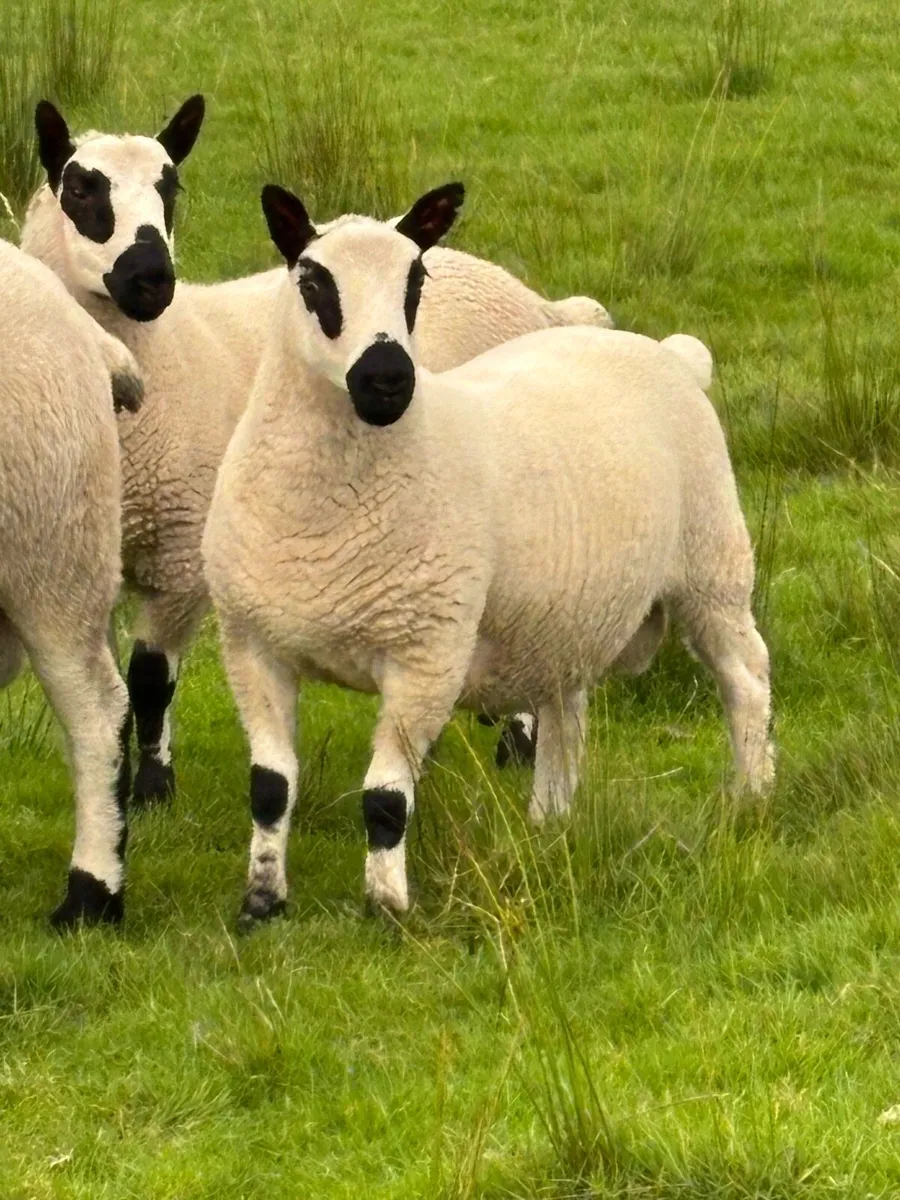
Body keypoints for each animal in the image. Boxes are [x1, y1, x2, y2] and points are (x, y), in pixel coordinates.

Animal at [20, 98, 622, 803]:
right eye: (81, 188)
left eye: (171, 189)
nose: (151, 279)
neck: (159, 357)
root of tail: (538, 304)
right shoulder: (90, 554)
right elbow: (111, 686)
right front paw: (114, 784)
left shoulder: (182, 554)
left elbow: (148, 679)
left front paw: (153, 791)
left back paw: (517, 745)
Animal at [201, 182, 774, 927]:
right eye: (312, 281)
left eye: (417, 281)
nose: (387, 379)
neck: (323, 520)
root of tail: (667, 352)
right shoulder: (251, 646)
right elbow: (269, 787)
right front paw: (262, 902)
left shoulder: (426, 655)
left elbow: (385, 799)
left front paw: (387, 907)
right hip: (567, 615)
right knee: (565, 717)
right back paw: (550, 822)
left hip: (712, 564)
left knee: (746, 680)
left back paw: (752, 794)